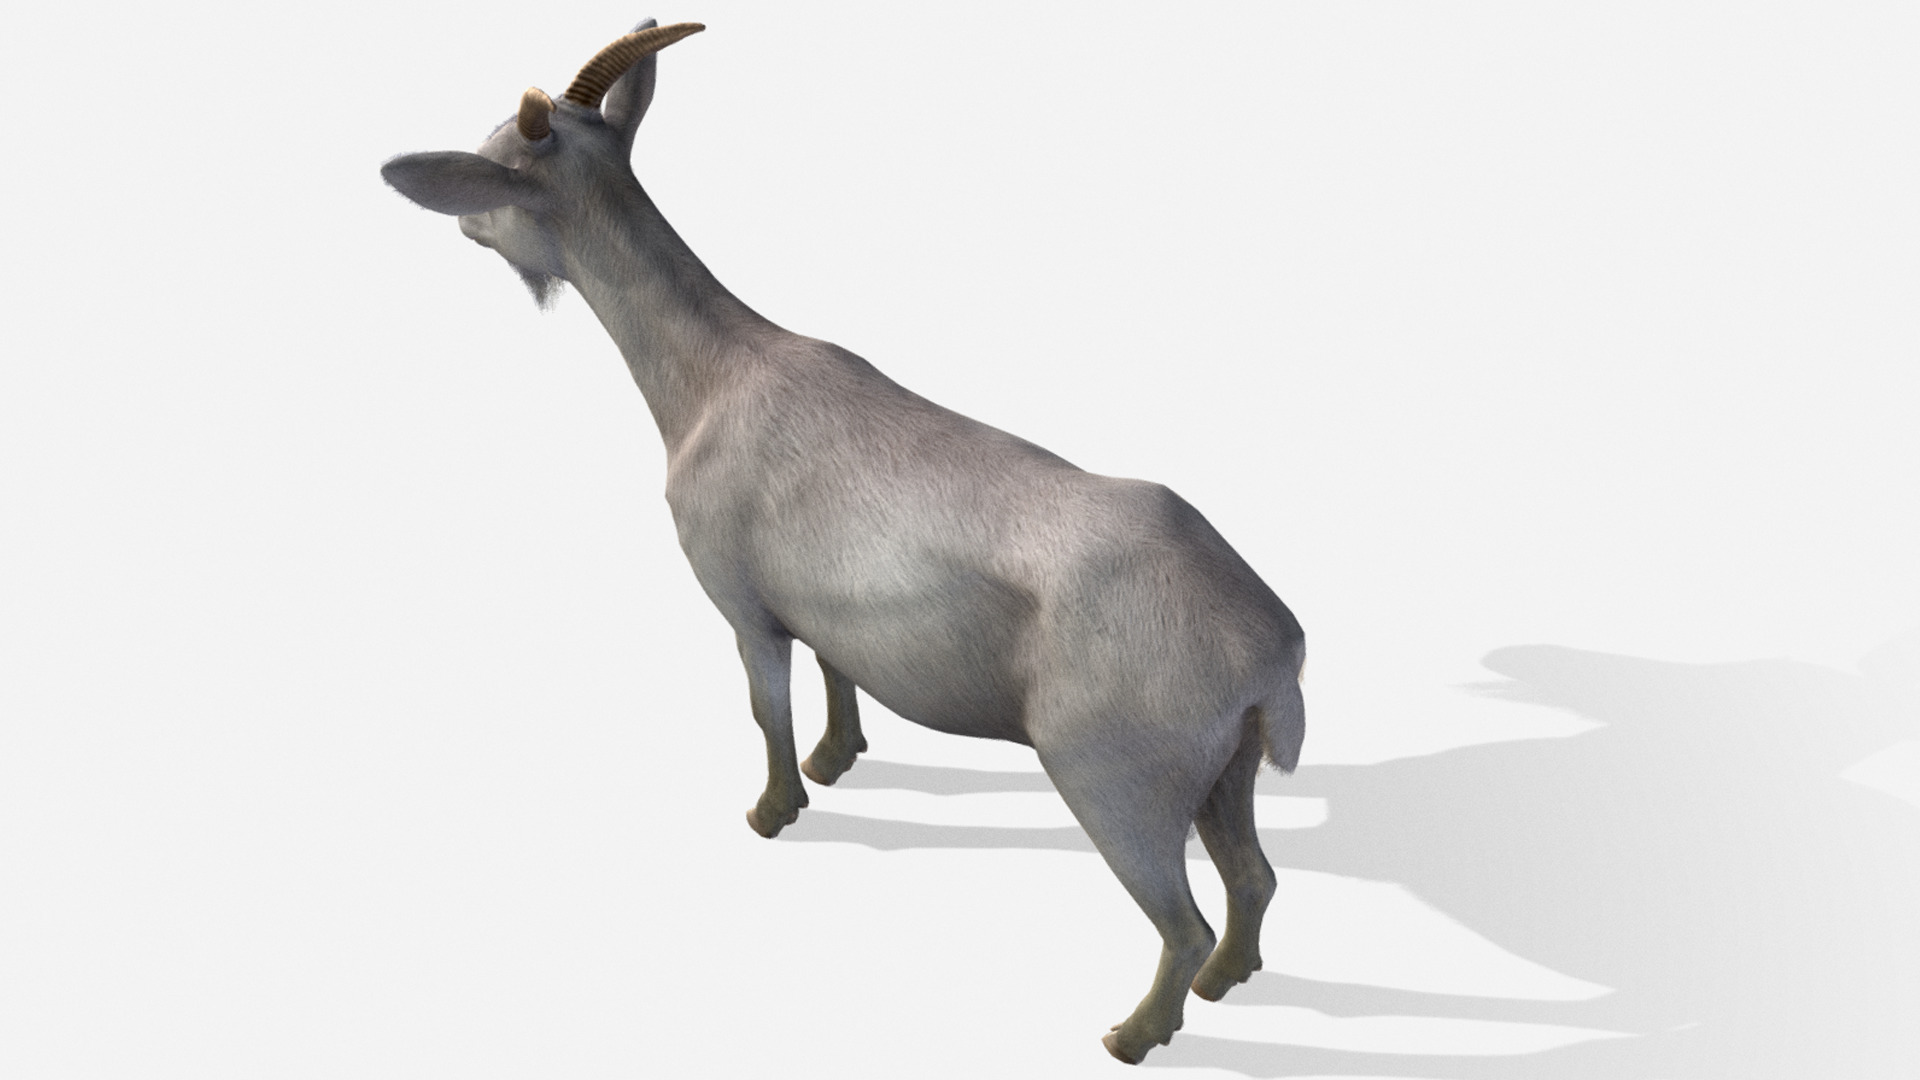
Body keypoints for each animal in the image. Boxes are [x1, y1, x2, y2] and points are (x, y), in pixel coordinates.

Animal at [380, 19, 1306, 1064]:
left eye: (497, 166)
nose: (463, 225)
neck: (712, 381)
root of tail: (1270, 656)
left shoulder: (740, 599)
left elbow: (764, 707)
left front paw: (775, 810)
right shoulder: (824, 602)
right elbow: (836, 671)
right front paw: (839, 759)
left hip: (1116, 777)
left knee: (1181, 918)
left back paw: (1132, 1035)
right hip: (1224, 770)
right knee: (1255, 878)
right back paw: (1231, 978)